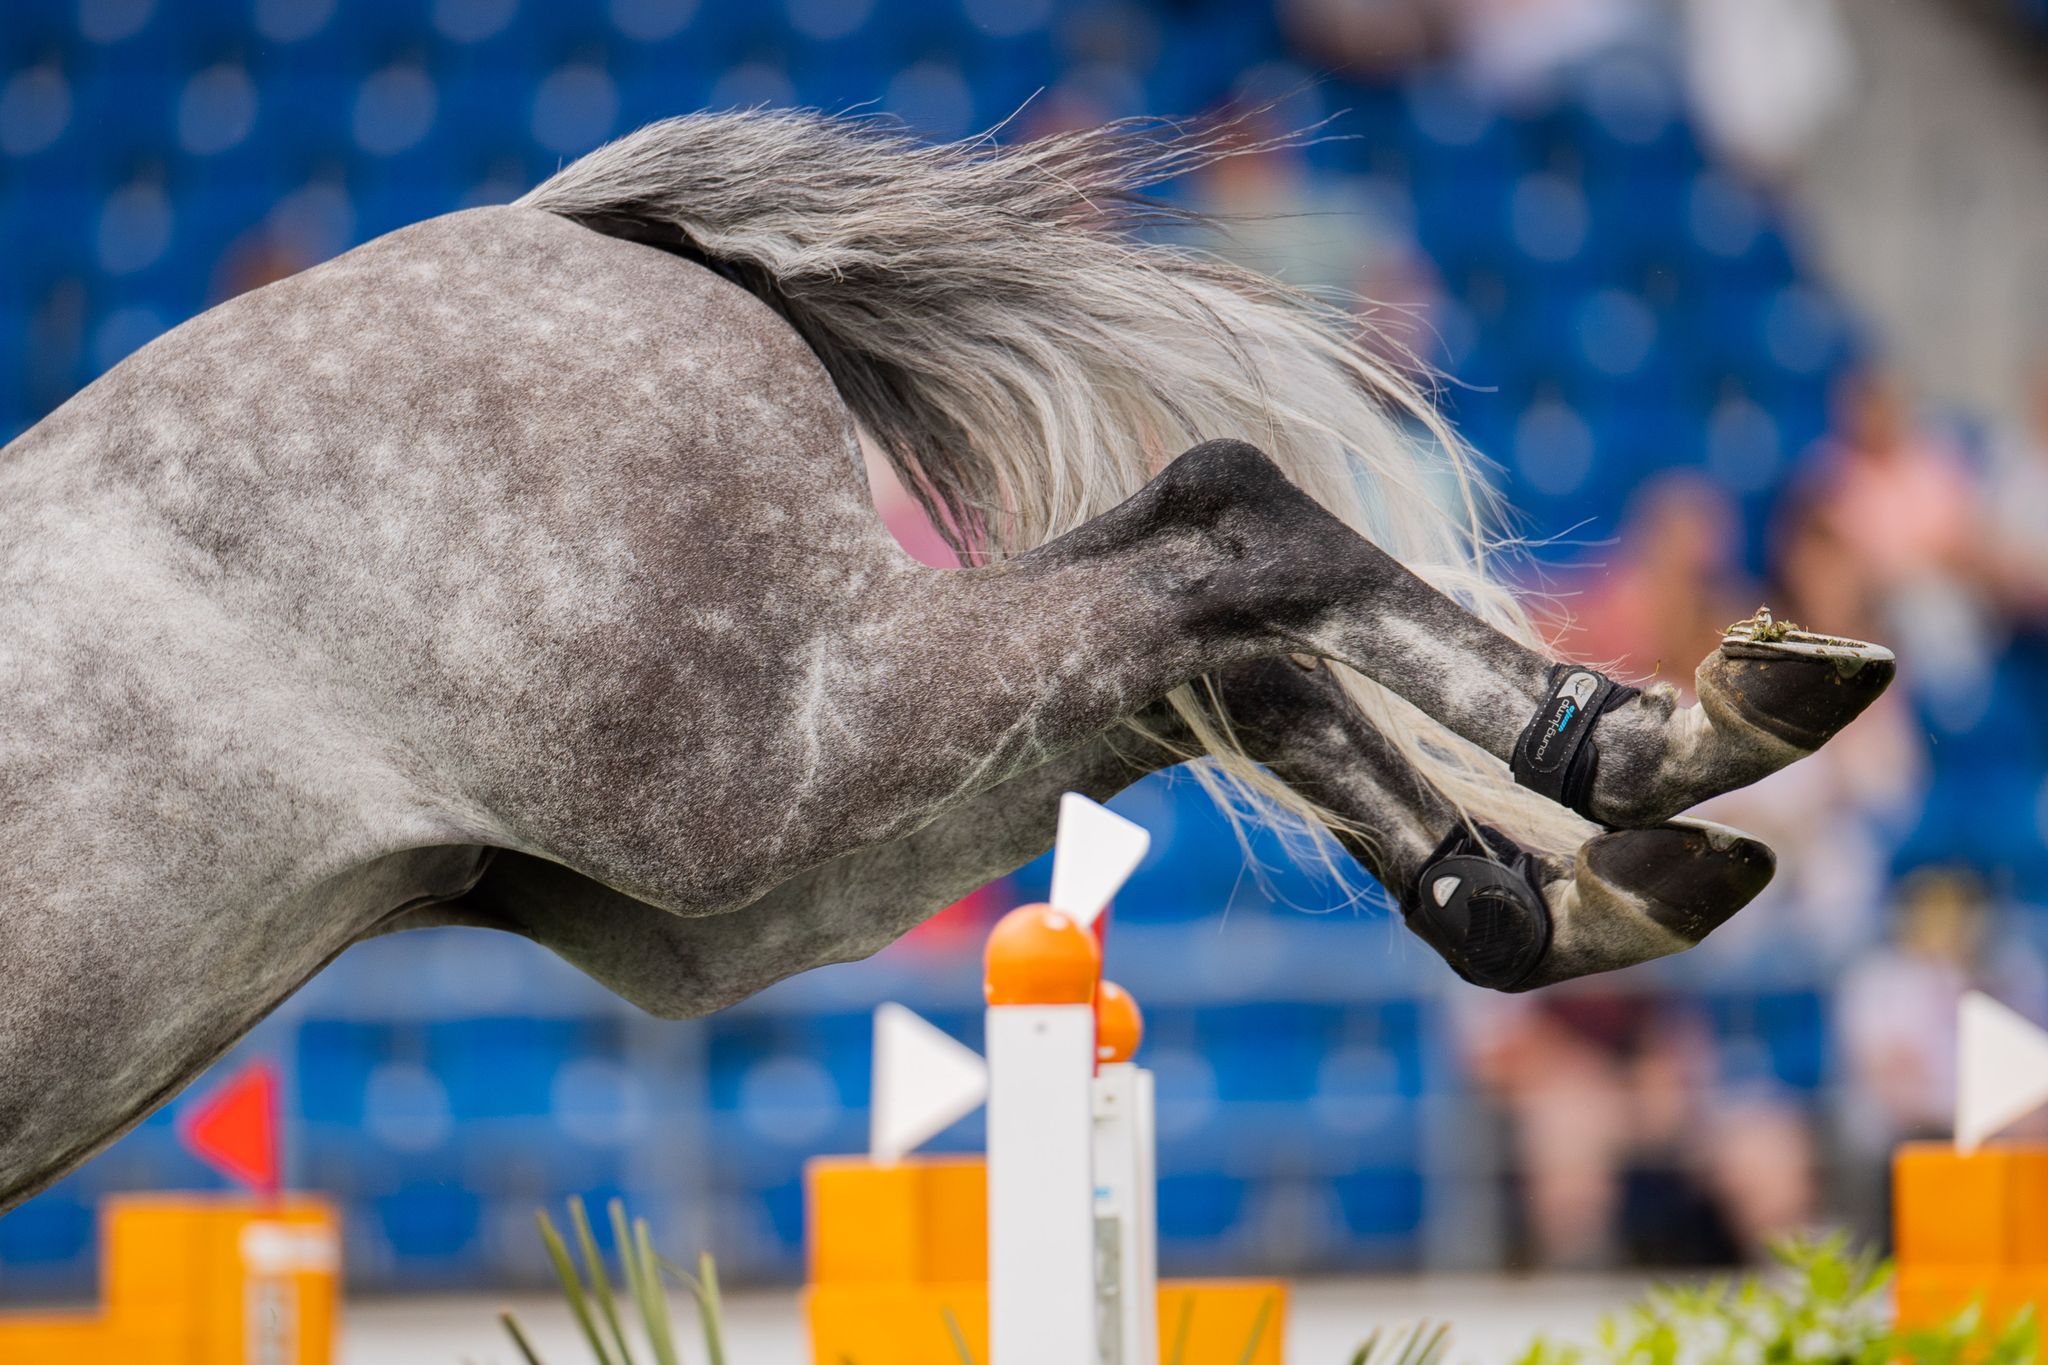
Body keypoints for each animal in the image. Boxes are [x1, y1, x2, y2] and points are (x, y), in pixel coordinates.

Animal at [0, 112, 1884, 1211]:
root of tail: (553, 222)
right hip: (719, 878)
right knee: (1211, 647)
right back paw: (1554, 877)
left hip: (746, 764)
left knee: (1223, 528)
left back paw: (1646, 745)